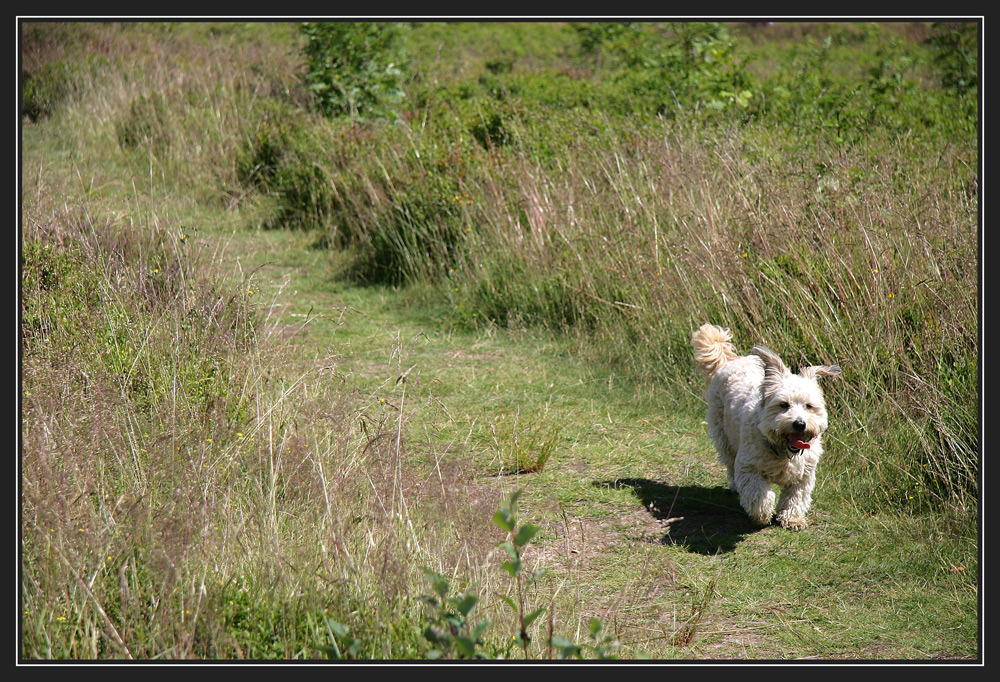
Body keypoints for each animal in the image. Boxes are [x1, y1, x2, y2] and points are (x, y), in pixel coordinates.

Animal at [692, 322, 840, 524]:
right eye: (783, 405)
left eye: (809, 406)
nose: (799, 424)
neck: (783, 452)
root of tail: (731, 361)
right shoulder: (749, 467)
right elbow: (759, 493)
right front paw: (762, 513)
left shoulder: (805, 474)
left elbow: (796, 496)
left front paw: (793, 518)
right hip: (724, 436)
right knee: (730, 462)